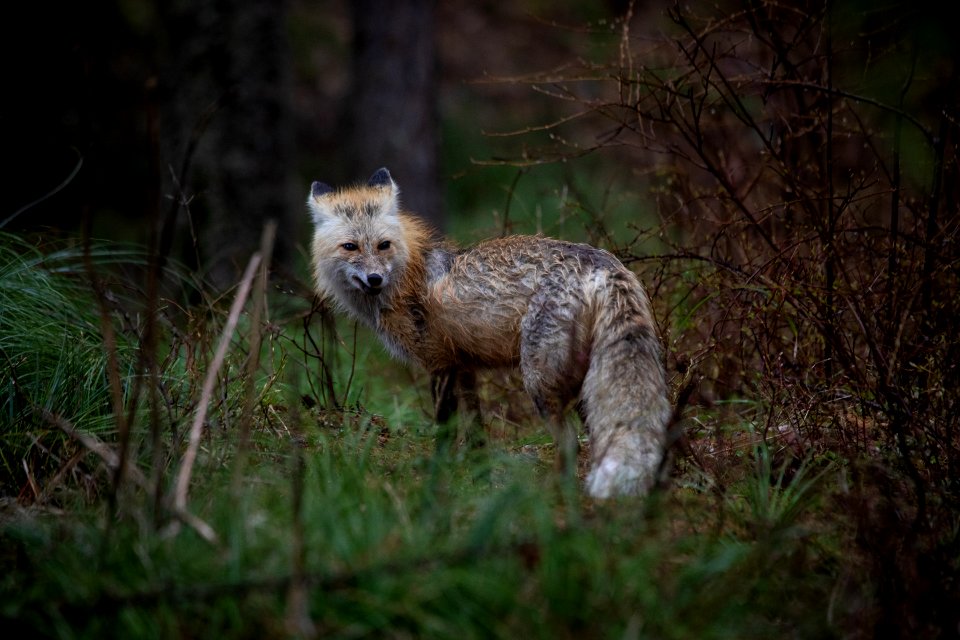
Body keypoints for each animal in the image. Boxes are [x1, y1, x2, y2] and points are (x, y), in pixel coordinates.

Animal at [308, 168, 668, 498]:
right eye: (350, 247)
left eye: (383, 246)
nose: (374, 279)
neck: (410, 277)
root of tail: (603, 262)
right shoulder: (464, 367)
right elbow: (478, 435)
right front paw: (479, 479)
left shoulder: (439, 364)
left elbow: (444, 431)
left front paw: (438, 478)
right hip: (583, 381)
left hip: (539, 381)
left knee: (570, 444)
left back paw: (554, 497)